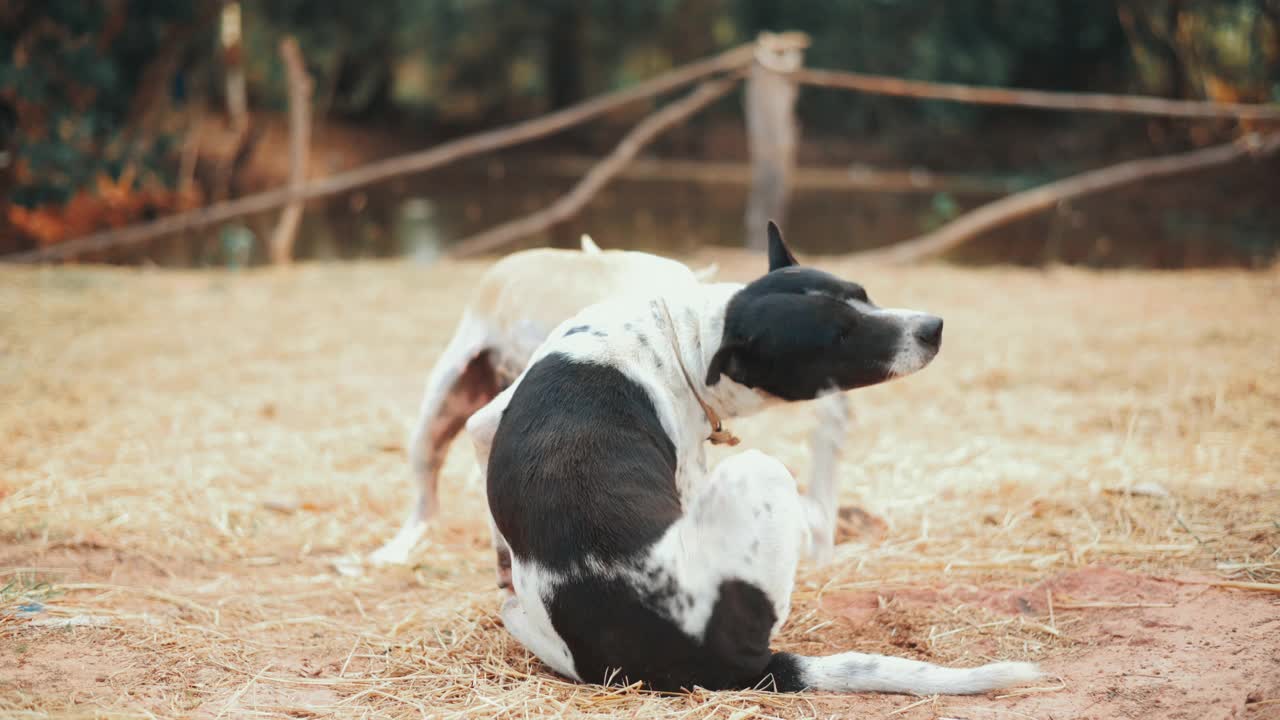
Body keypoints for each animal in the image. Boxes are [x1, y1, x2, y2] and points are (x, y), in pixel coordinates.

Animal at [471, 222, 1039, 691]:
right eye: (838, 337)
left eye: (862, 294)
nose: (932, 328)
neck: (688, 334)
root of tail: (736, 663)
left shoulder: (488, 421)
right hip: (760, 474)